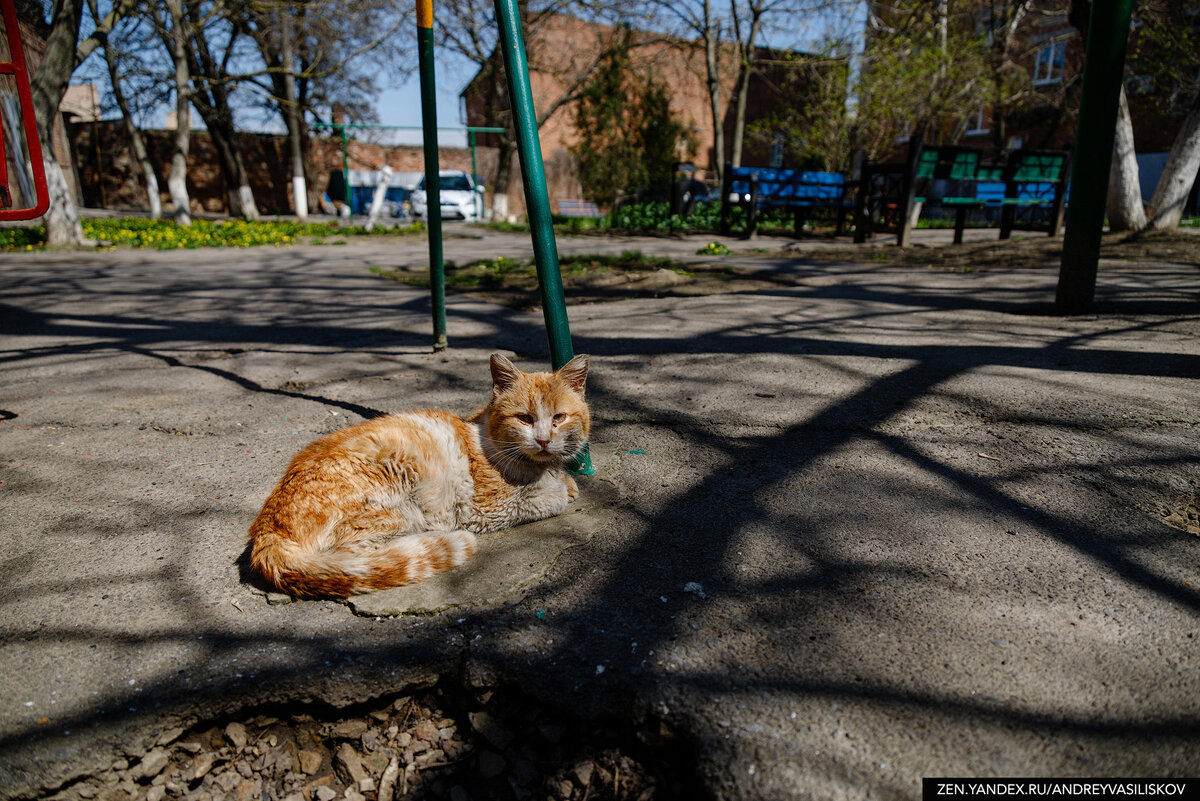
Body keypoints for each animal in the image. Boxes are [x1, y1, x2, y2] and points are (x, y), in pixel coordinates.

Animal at [252, 352, 590, 597]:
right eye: (524, 418)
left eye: (559, 418)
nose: (544, 440)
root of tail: (267, 531)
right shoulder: (487, 509)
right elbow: (547, 498)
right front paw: (559, 488)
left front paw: (567, 480)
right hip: (394, 505)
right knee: (353, 560)